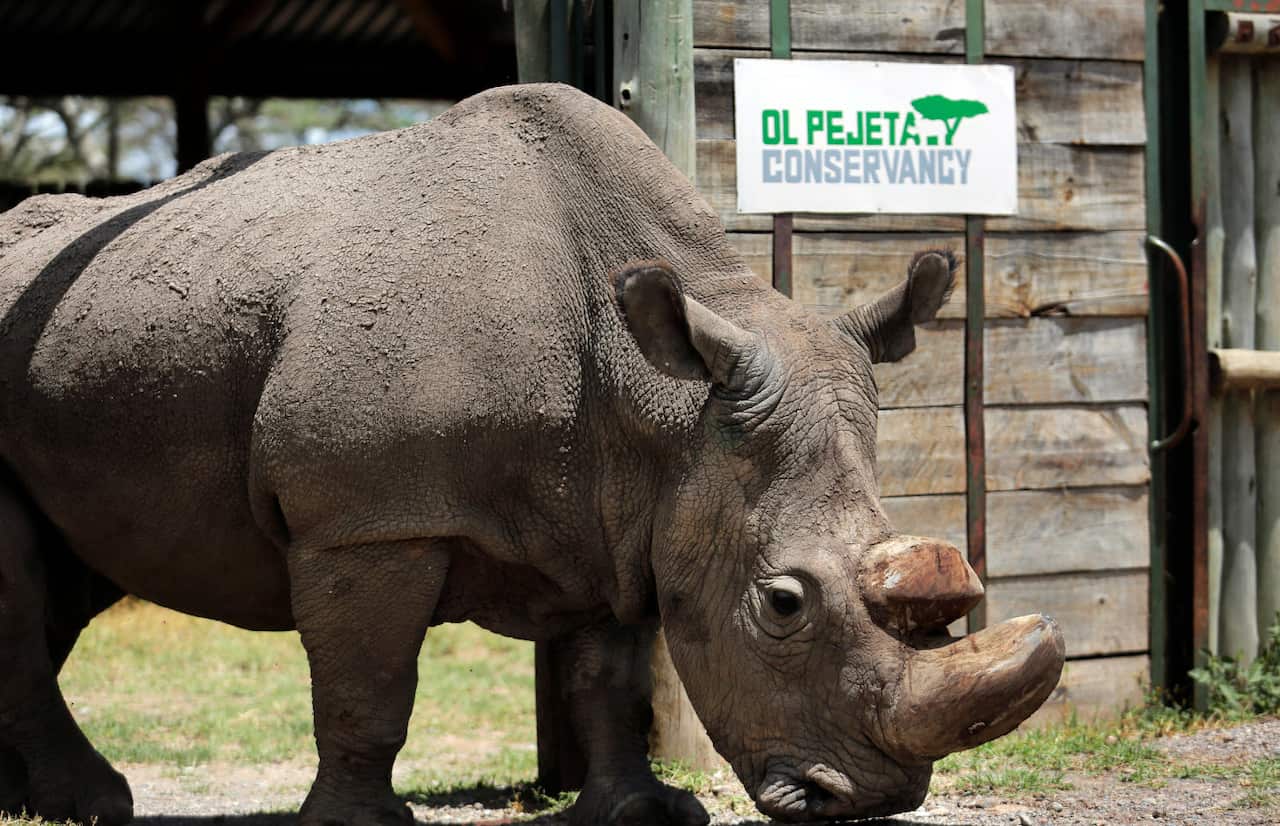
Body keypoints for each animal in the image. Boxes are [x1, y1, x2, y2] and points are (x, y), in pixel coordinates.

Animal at [0, 83, 1064, 825]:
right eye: (783, 605)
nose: (871, 799)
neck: (660, 399)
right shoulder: (369, 518)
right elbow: (369, 684)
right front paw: (360, 823)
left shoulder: (629, 508)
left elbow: (609, 676)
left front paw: (639, 810)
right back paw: (93, 804)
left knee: (61, 580)